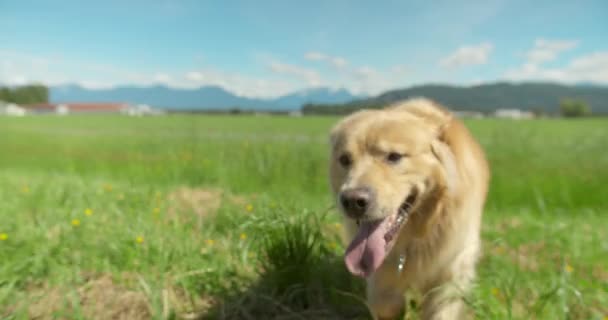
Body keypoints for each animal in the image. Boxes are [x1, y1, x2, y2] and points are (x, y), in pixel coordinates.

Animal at [328, 98, 490, 320]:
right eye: (344, 160)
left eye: (394, 157)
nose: (352, 201)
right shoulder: (382, 274)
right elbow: (386, 302)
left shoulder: (453, 267)